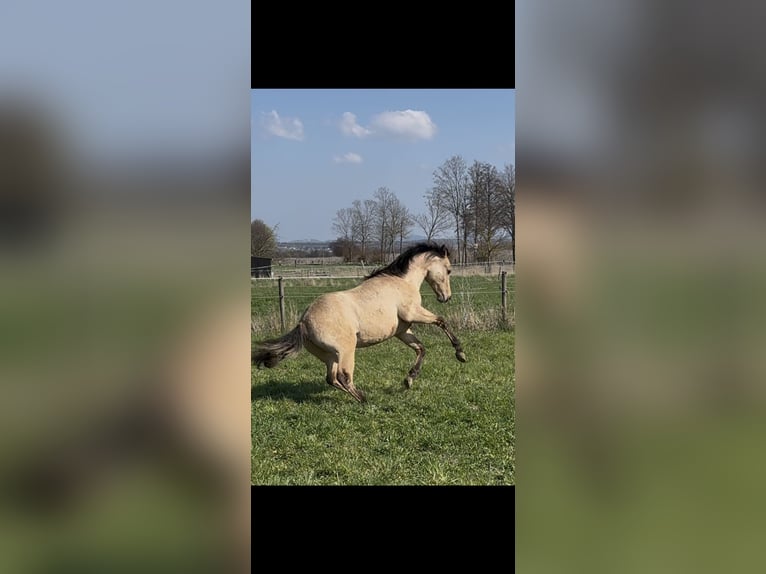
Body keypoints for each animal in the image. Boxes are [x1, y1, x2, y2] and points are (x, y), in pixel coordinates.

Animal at [252, 243, 467, 403]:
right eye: (449, 270)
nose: (446, 297)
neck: (402, 282)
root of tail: (303, 322)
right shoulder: (413, 313)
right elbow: (441, 321)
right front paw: (460, 354)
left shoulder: (402, 330)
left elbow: (421, 348)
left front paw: (409, 379)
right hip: (347, 350)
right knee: (343, 376)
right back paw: (365, 399)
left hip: (329, 355)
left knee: (331, 378)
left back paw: (360, 396)